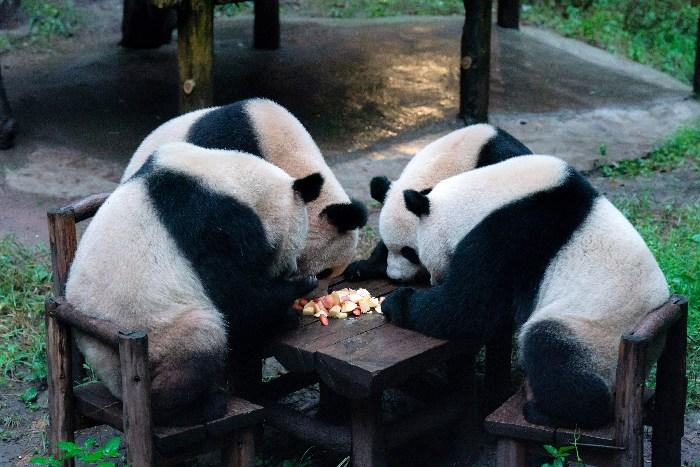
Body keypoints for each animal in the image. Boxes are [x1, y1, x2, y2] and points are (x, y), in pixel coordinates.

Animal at [67, 143, 324, 428]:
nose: (291, 268)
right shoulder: (212, 225)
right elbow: (238, 298)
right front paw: (296, 294)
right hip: (159, 336)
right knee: (200, 339)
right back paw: (198, 408)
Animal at [380, 155, 668, 430]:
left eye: (414, 252)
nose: (433, 279)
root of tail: (652, 347)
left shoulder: (508, 236)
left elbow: (466, 309)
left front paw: (395, 303)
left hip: (596, 334)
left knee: (551, 351)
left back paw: (548, 412)